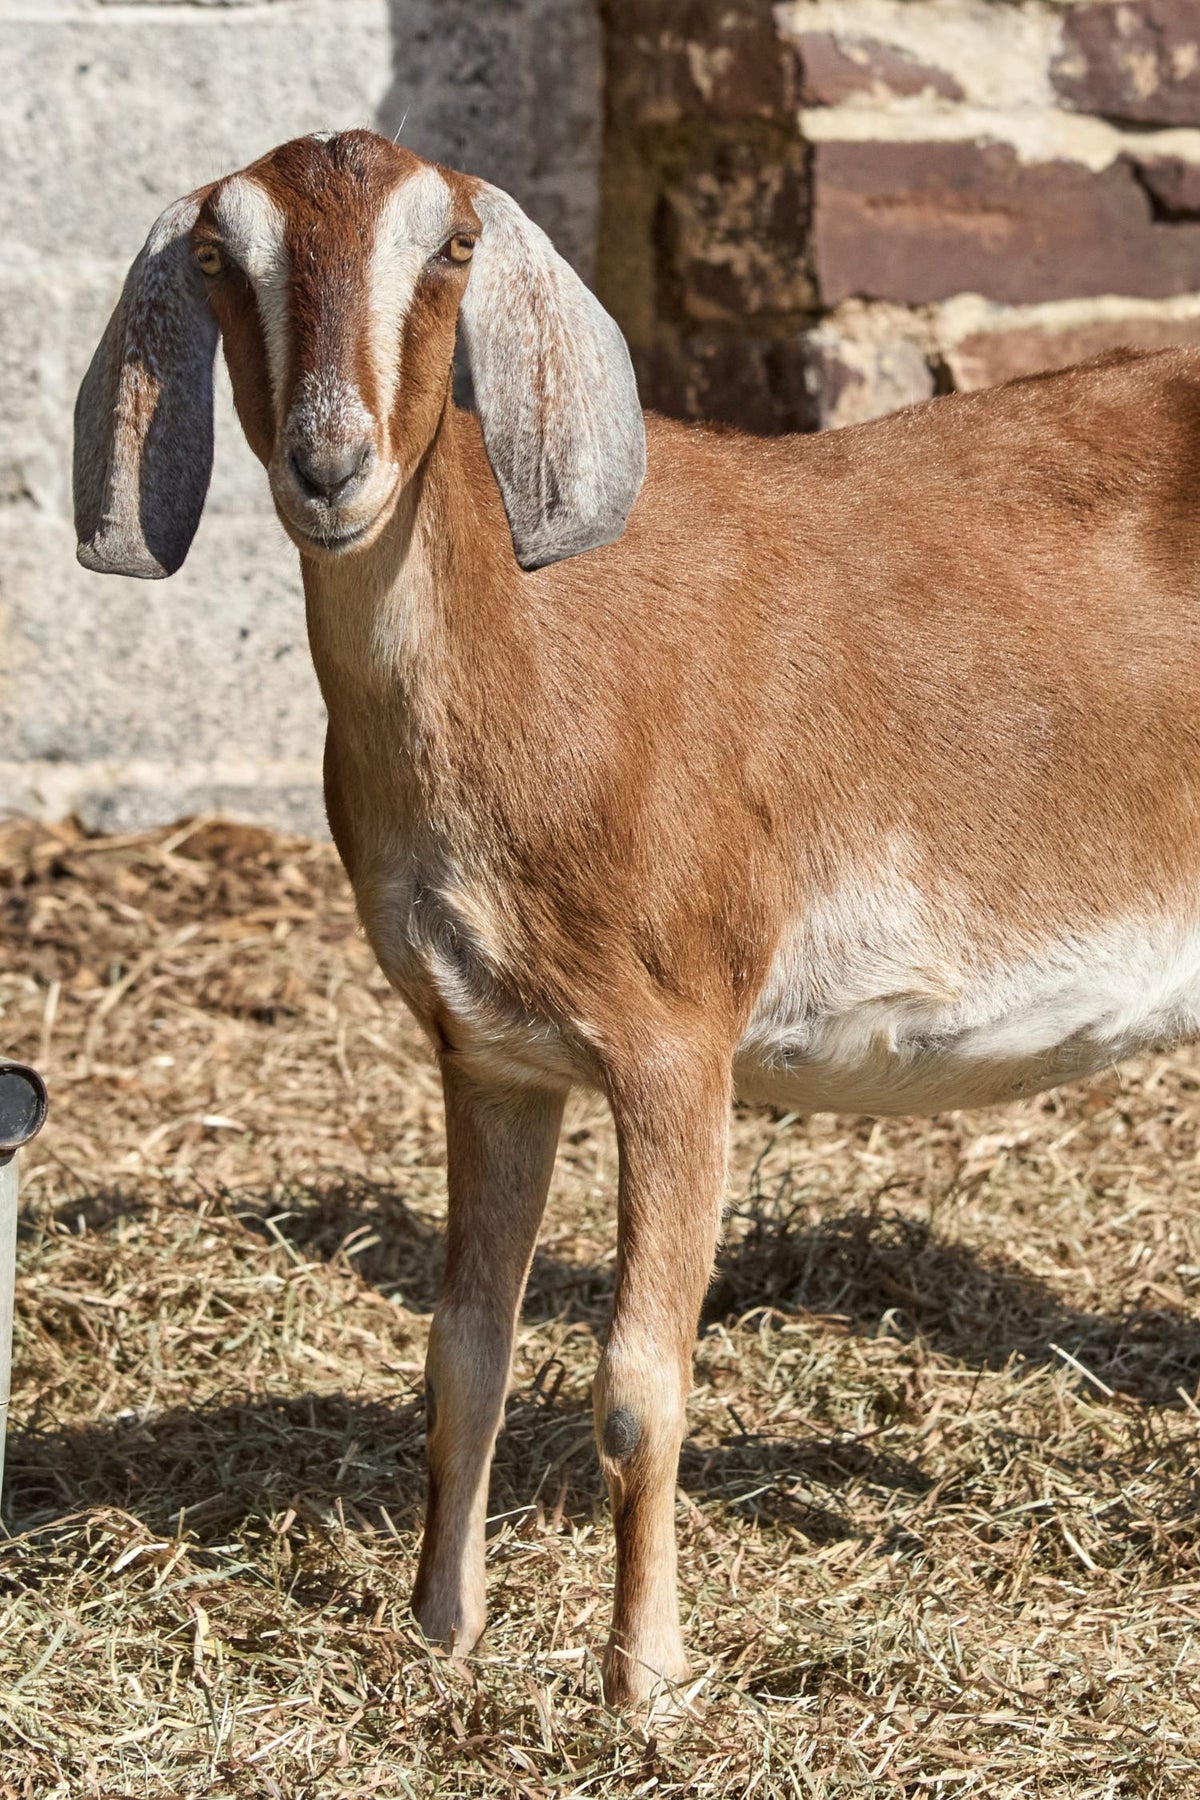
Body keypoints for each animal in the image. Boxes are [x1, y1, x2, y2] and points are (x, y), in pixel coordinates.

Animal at [74, 128, 1200, 1707]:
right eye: (219, 257)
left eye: (452, 249)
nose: (331, 464)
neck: (535, 659)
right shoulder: (489, 1053)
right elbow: (464, 1354)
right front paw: (442, 1630)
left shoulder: (678, 1039)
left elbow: (637, 1388)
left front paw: (644, 1677)